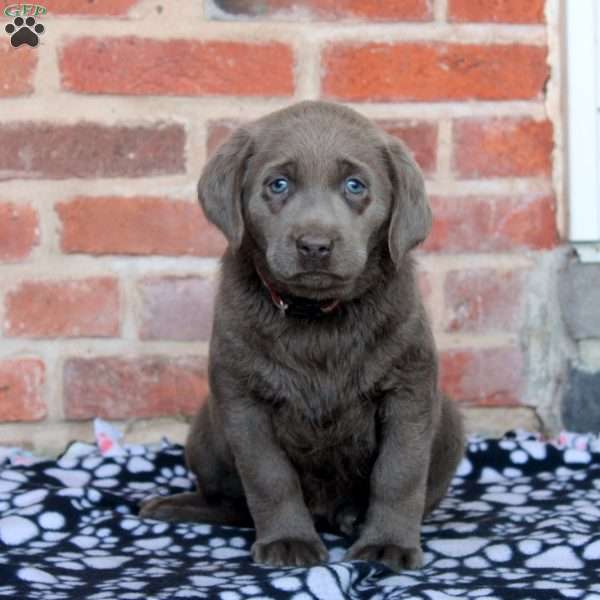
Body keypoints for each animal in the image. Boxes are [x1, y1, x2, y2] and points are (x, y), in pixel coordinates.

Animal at [141, 99, 464, 572]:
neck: (316, 315)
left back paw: (354, 516)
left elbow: (399, 473)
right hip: (205, 429)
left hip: (450, 420)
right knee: (229, 501)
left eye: (354, 186)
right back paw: (174, 505)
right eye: (278, 184)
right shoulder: (243, 399)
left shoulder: (409, 390)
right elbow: (269, 476)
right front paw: (288, 540)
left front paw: (387, 545)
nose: (314, 244)